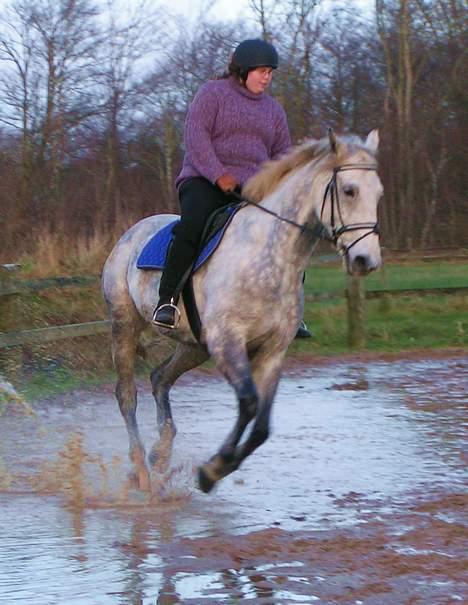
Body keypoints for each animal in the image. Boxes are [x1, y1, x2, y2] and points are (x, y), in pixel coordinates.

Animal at [102, 130, 384, 494]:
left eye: (378, 193)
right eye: (349, 190)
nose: (366, 260)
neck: (268, 256)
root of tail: (131, 233)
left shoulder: (272, 350)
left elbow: (261, 426)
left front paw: (214, 470)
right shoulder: (228, 342)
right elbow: (249, 403)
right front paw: (212, 470)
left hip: (195, 346)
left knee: (160, 378)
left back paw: (160, 455)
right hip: (124, 325)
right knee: (127, 396)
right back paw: (140, 470)